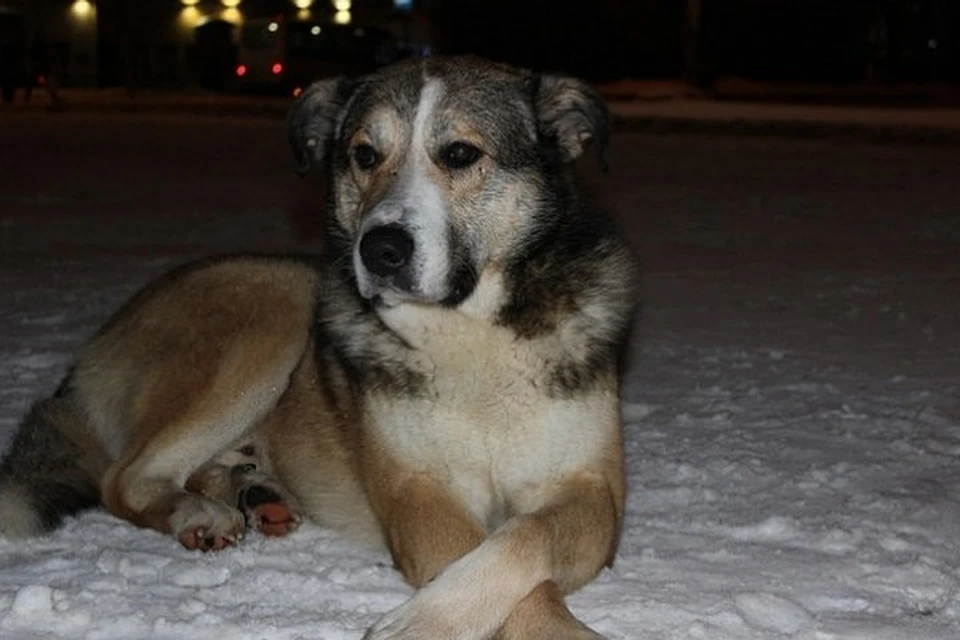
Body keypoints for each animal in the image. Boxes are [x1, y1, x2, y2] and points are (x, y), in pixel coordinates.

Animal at [0, 56, 636, 640]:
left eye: (459, 154)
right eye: (364, 155)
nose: (380, 249)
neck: (471, 336)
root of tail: (92, 351)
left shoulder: (592, 491)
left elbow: (524, 536)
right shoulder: (415, 491)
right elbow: (498, 561)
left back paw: (254, 492)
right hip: (280, 297)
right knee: (124, 479)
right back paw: (201, 510)